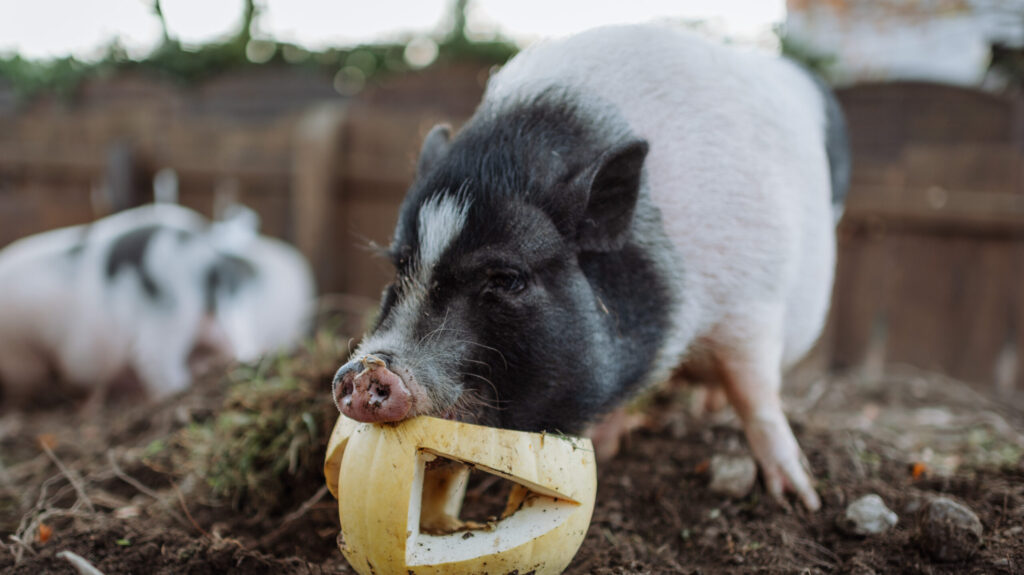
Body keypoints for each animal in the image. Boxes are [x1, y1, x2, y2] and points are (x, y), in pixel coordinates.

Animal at [332, 24, 850, 511]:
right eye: (400, 267)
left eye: (507, 278)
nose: (363, 371)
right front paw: (605, 448)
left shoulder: (753, 303)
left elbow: (756, 394)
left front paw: (800, 498)